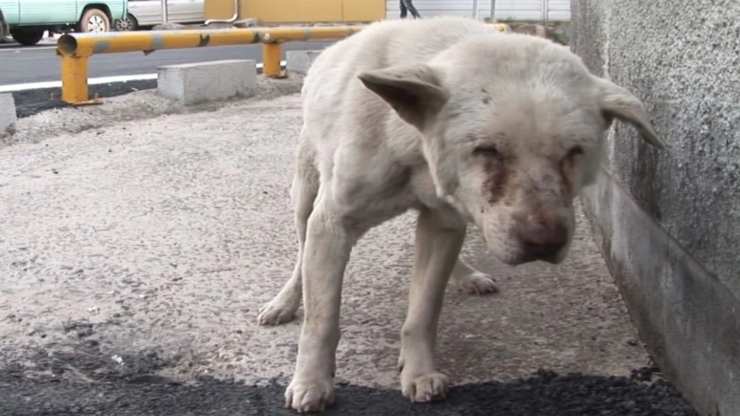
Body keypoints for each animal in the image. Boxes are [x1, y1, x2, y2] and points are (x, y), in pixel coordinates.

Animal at [258, 17, 660, 412]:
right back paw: (285, 301)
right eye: (487, 150)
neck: (411, 140)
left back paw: (466, 274)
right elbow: (321, 318)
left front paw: (418, 371)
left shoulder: (443, 222)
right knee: (301, 254)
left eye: (575, 152)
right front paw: (312, 381)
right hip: (305, 195)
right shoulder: (332, 223)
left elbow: (423, 310)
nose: (544, 243)